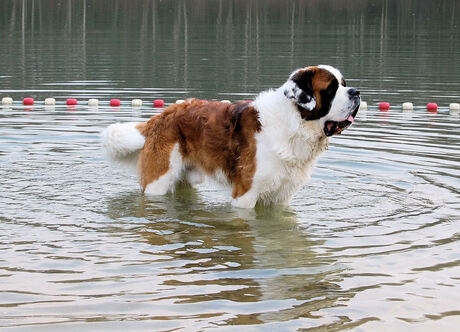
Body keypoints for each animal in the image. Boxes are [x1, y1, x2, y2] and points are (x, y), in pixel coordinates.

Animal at [102, 65, 362, 208]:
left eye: (344, 84)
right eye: (331, 89)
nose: (356, 92)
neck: (294, 124)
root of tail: (163, 115)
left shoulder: (280, 198)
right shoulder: (245, 196)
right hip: (158, 182)